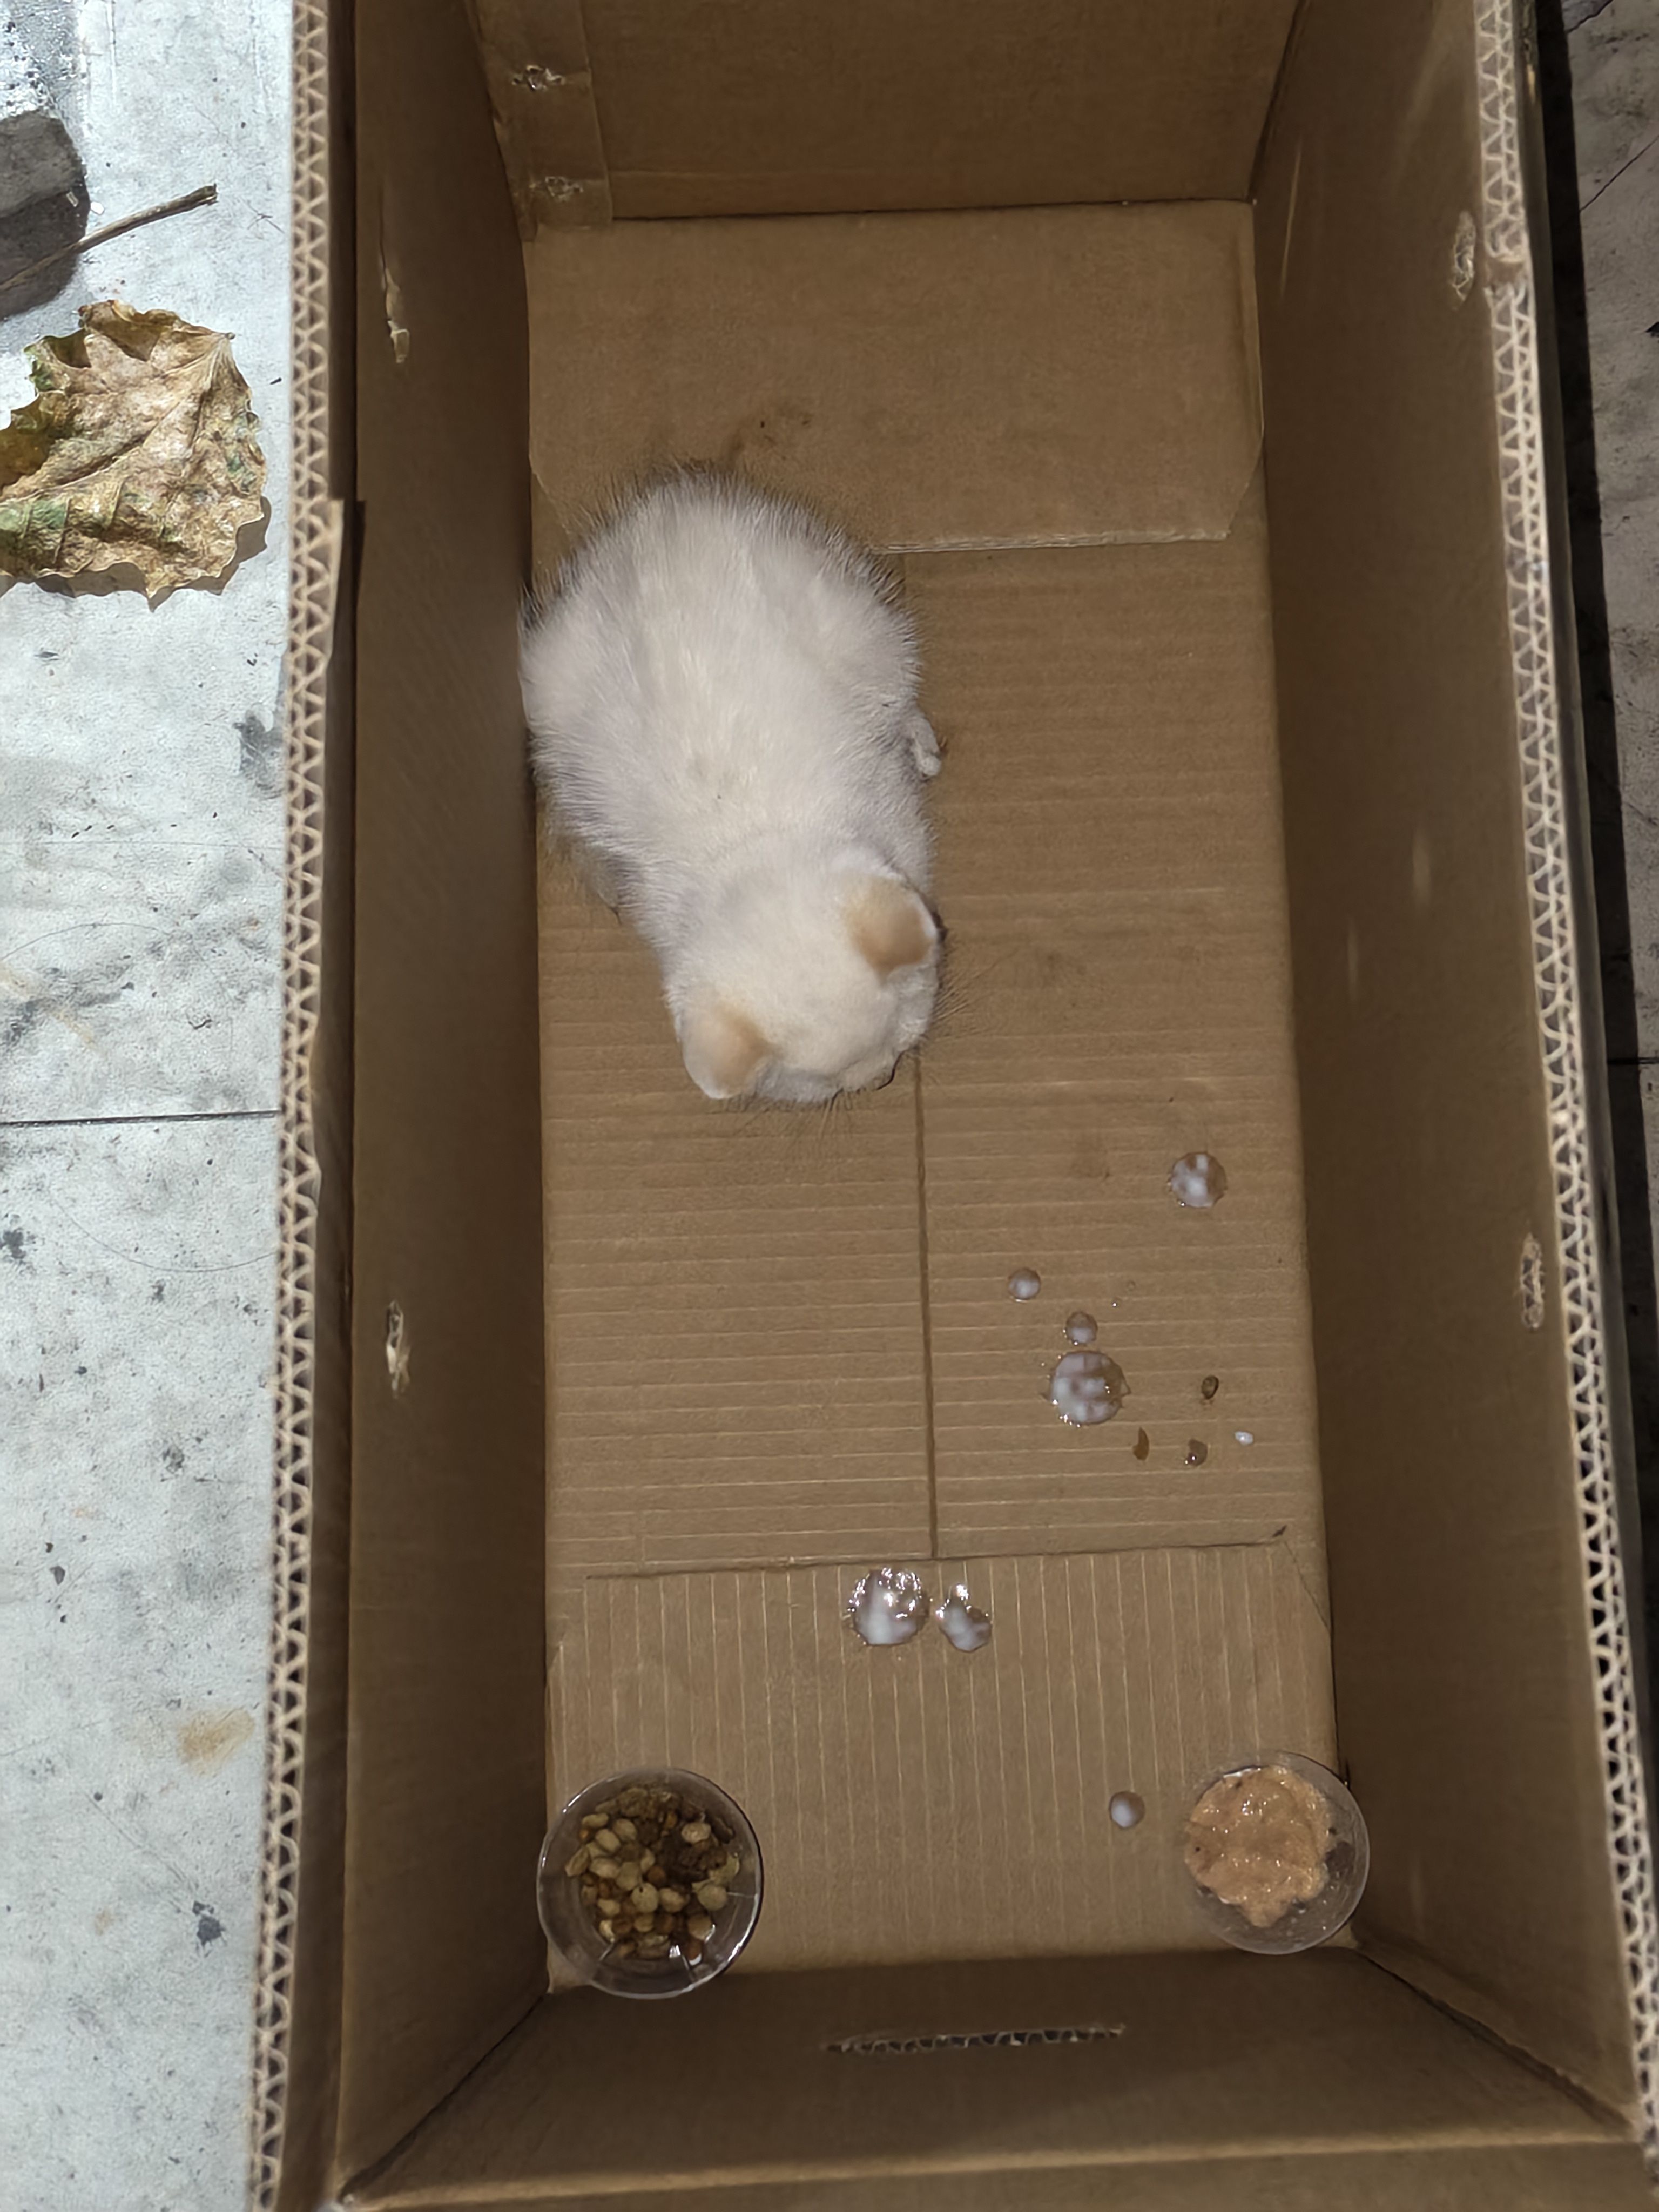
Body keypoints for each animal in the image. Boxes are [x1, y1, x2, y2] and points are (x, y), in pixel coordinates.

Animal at [521, 472, 942, 1104]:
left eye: (902, 1031)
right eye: (819, 1085)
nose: (879, 1079)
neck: (752, 842)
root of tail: (662, 515)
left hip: (856, 619)